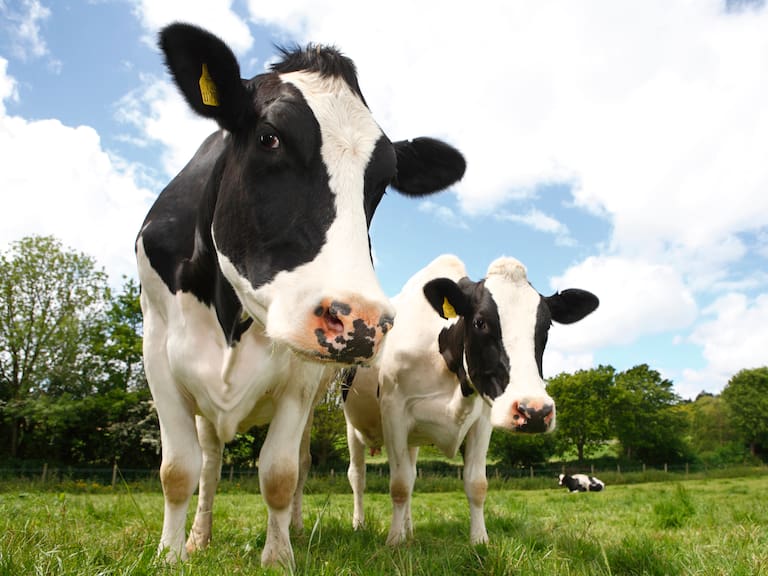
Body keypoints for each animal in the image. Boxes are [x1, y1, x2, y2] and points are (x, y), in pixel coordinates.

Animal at [136, 23, 466, 568]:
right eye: (269, 137)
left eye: (382, 182)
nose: (361, 321)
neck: (231, 314)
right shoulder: (158, 351)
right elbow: (179, 470)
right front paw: (170, 555)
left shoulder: (302, 375)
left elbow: (280, 472)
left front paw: (278, 557)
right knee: (211, 461)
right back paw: (200, 536)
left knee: (301, 463)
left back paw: (293, 525)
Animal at [342, 254, 599, 545]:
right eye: (480, 322)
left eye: (546, 326)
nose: (534, 412)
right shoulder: (393, 410)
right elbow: (399, 485)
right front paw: (394, 542)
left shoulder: (483, 419)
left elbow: (476, 484)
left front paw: (479, 541)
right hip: (352, 427)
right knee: (358, 476)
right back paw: (361, 525)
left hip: (412, 440)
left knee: (411, 473)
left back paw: (409, 530)